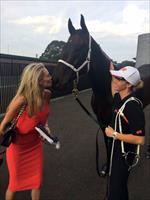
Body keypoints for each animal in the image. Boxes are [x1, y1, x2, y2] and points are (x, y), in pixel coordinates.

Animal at [52, 14, 150, 175]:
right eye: (65, 47)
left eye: (80, 47)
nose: (55, 80)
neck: (106, 91)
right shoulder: (102, 121)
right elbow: (107, 141)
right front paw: (106, 166)